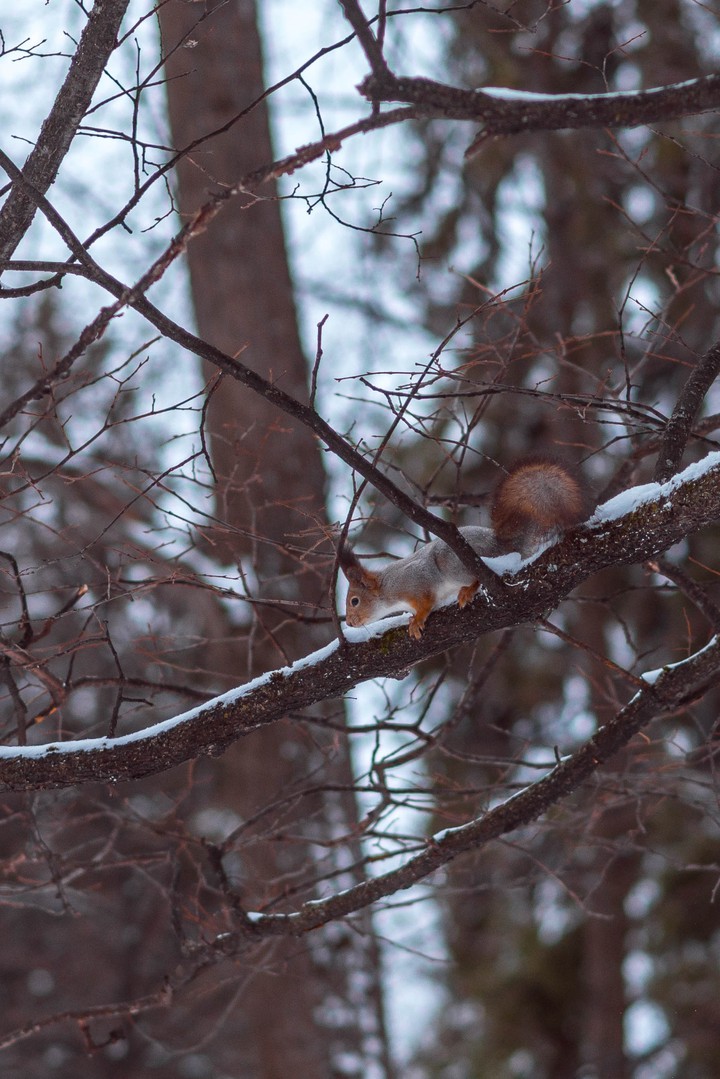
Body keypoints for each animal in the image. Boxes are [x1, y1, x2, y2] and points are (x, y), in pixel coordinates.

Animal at [339, 456, 590, 639]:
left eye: (354, 601)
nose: (350, 622)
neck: (387, 589)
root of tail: (501, 546)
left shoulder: (415, 580)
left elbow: (427, 601)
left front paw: (418, 619)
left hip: (452, 562)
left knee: (479, 576)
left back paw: (469, 590)